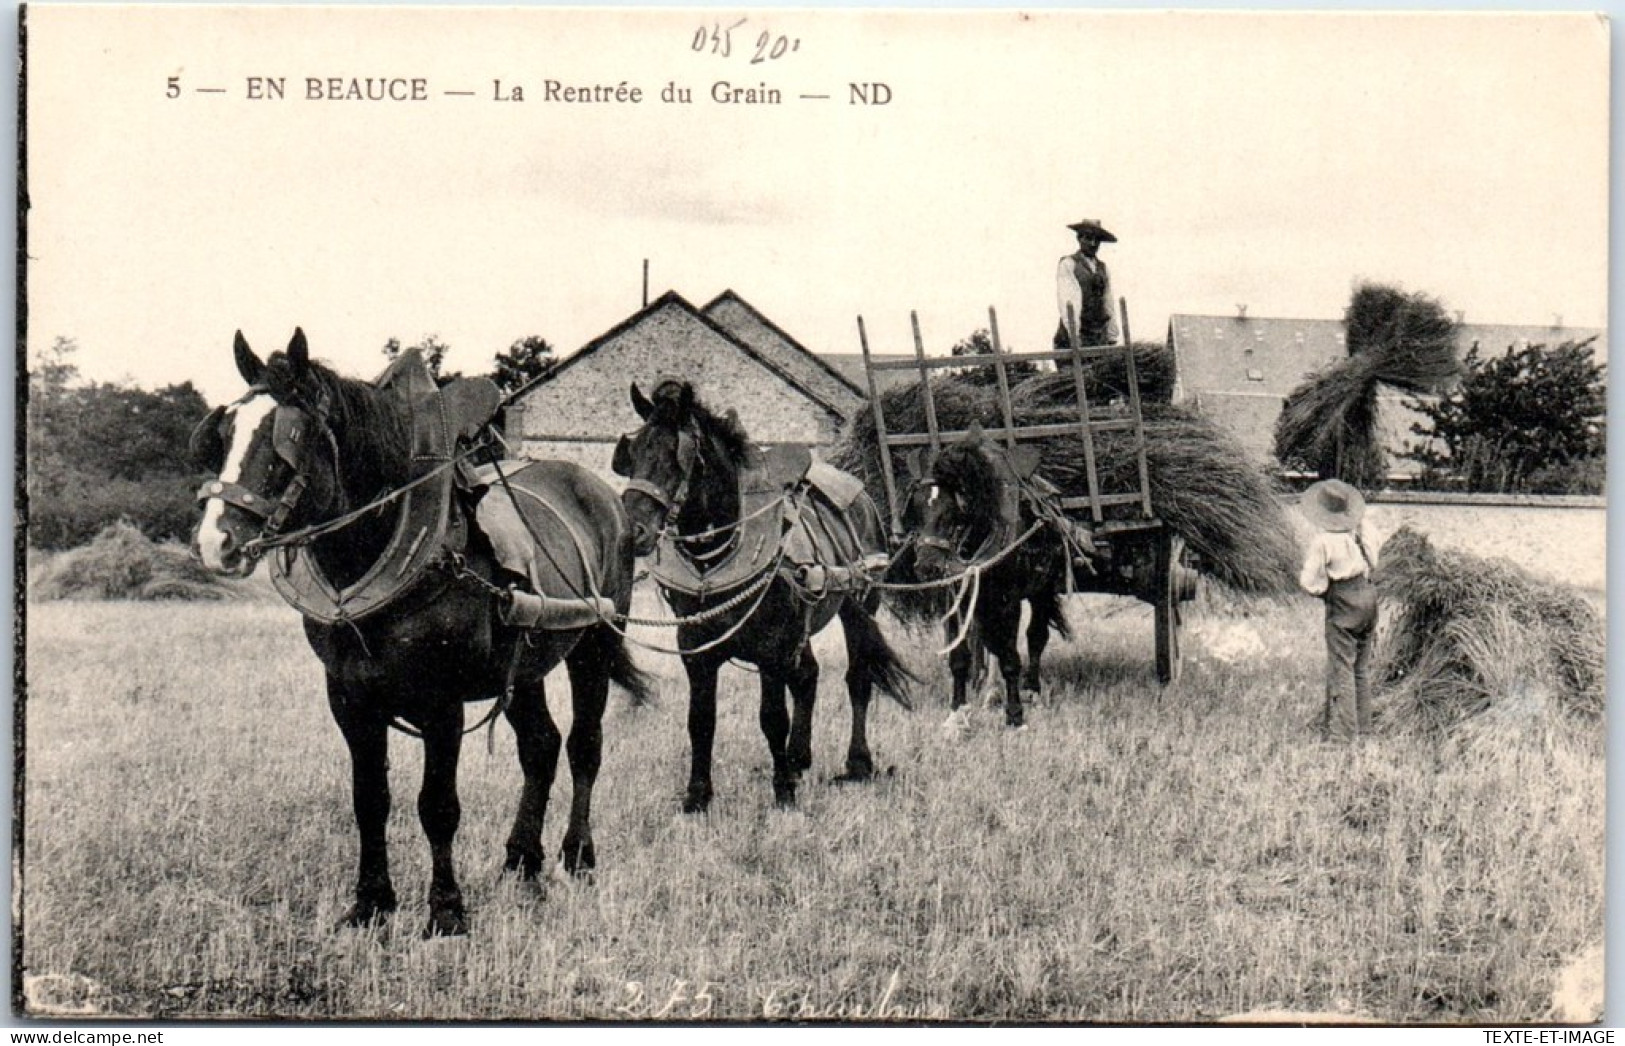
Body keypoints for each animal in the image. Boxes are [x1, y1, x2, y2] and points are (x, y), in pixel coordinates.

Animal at [190, 331, 646, 935]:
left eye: (288, 439)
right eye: (222, 433)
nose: (215, 543)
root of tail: (602, 494)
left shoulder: (441, 701)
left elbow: (438, 806)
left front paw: (446, 911)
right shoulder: (348, 697)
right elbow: (369, 799)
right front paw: (370, 903)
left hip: (597, 641)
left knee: (583, 747)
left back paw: (577, 855)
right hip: (525, 662)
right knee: (540, 746)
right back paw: (522, 861)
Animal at [611, 380, 916, 812]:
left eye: (677, 457)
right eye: (632, 453)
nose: (631, 530)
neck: (718, 557)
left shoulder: (771, 651)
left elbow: (772, 718)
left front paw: (783, 791)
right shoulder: (696, 650)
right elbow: (700, 720)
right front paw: (698, 796)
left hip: (859, 605)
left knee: (858, 678)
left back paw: (857, 763)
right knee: (807, 675)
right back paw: (799, 757)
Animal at [910, 425, 1072, 727]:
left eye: (954, 508)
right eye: (916, 506)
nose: (927, 566)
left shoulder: (1008, 602)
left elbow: (1011, 657)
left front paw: (1015, 716)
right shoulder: (957, 599)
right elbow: (959, 657)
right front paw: (957, 712)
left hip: (1041, 591)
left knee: (1036, 636)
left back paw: (1032, 690)